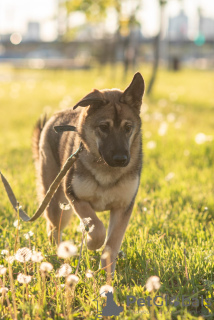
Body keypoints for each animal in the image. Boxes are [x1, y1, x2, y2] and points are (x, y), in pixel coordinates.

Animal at [31, 72, 145, 272]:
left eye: (128, 128)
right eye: (104, 127)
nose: (121, 159)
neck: (106, 169)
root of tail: (56, 116)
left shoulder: (122, 208)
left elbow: (111, 244)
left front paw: (107, 275)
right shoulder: (75, 197)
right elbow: (97, 228)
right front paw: (91, 243)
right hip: (58, 204)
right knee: (53, 228)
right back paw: (59, 255)